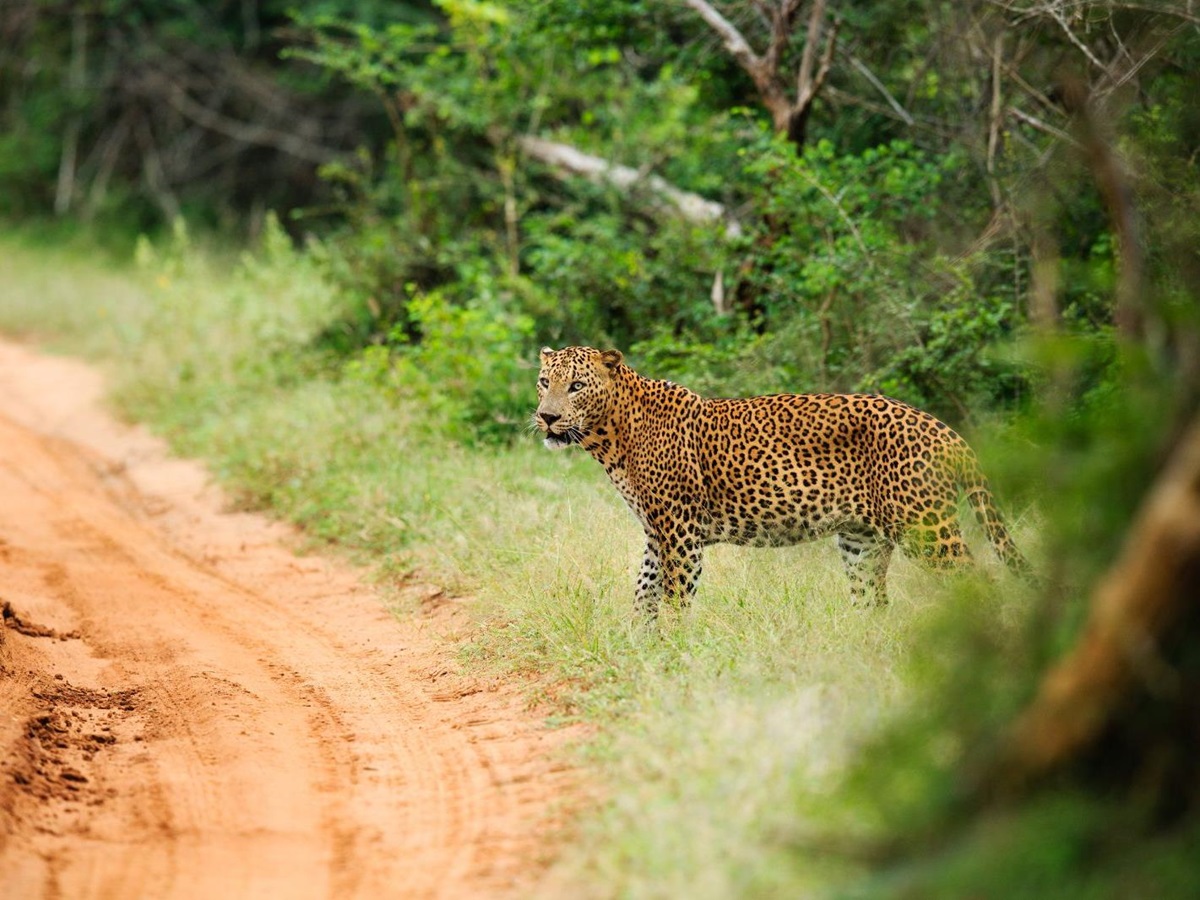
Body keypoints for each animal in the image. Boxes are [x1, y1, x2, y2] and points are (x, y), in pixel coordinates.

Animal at [534, 345, 1031, 617]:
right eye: (543, 382)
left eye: (576, 386)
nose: (547, 417)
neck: (610, 435)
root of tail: (945, 430)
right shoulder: (657, 533)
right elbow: (644, 593)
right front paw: (640, 648)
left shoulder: (680, 531)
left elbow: (675, 598)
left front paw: (674, 653)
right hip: (862, 541)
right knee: (873, 601)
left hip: (925, 529)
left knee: (977, 582)